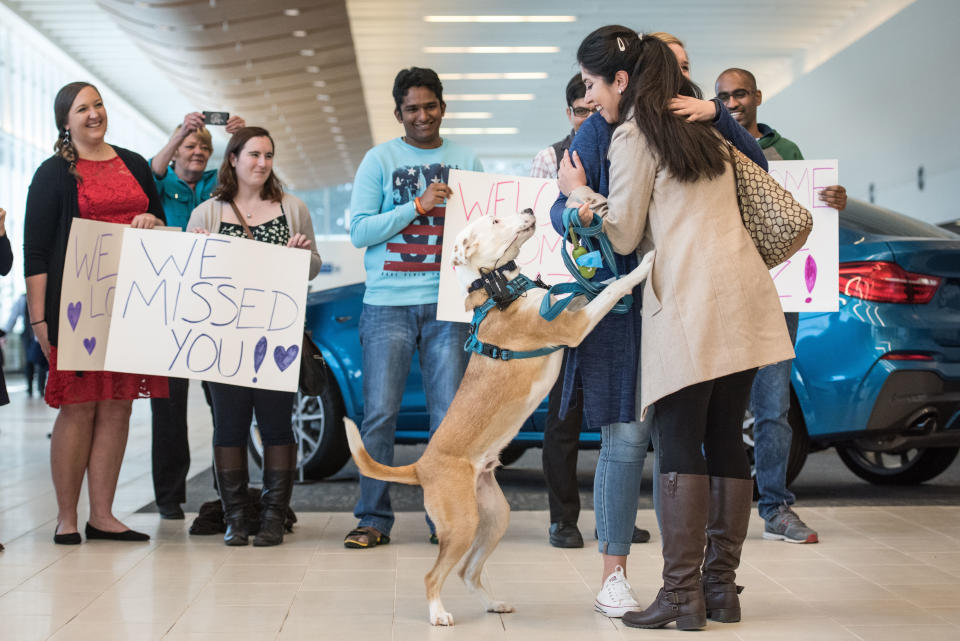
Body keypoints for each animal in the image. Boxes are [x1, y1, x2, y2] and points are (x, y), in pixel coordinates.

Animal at [344, 209, 652, 624]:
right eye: (494, 219)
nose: (530, 211)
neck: (499, 289)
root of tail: (421, 466)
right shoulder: (572, 326)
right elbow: (608, 292)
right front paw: (641, 268)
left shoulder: (564, 309)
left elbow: (584, 289)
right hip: (461, 524)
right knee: (433, 574)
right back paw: (438, 614)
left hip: (494, 517)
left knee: (467, 571)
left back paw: (492, 603)